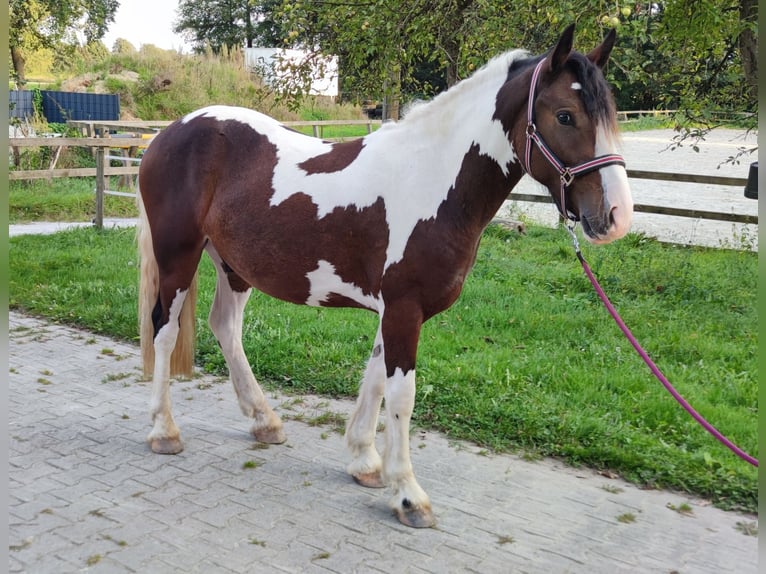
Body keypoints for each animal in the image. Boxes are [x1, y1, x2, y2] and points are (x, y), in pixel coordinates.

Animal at [140, 27, 636, 532]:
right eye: (565, 115)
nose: (617, 216)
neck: (432, 180)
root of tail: (172, 131)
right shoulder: (403, 308)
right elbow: (401, 395)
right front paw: (409, 495)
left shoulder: (393, 310)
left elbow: (376, 380)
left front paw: (365, 461)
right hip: (178, 256)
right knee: (164, 330)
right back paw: (164, 430)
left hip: (233, 265)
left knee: (225, 326)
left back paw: (265, 421)